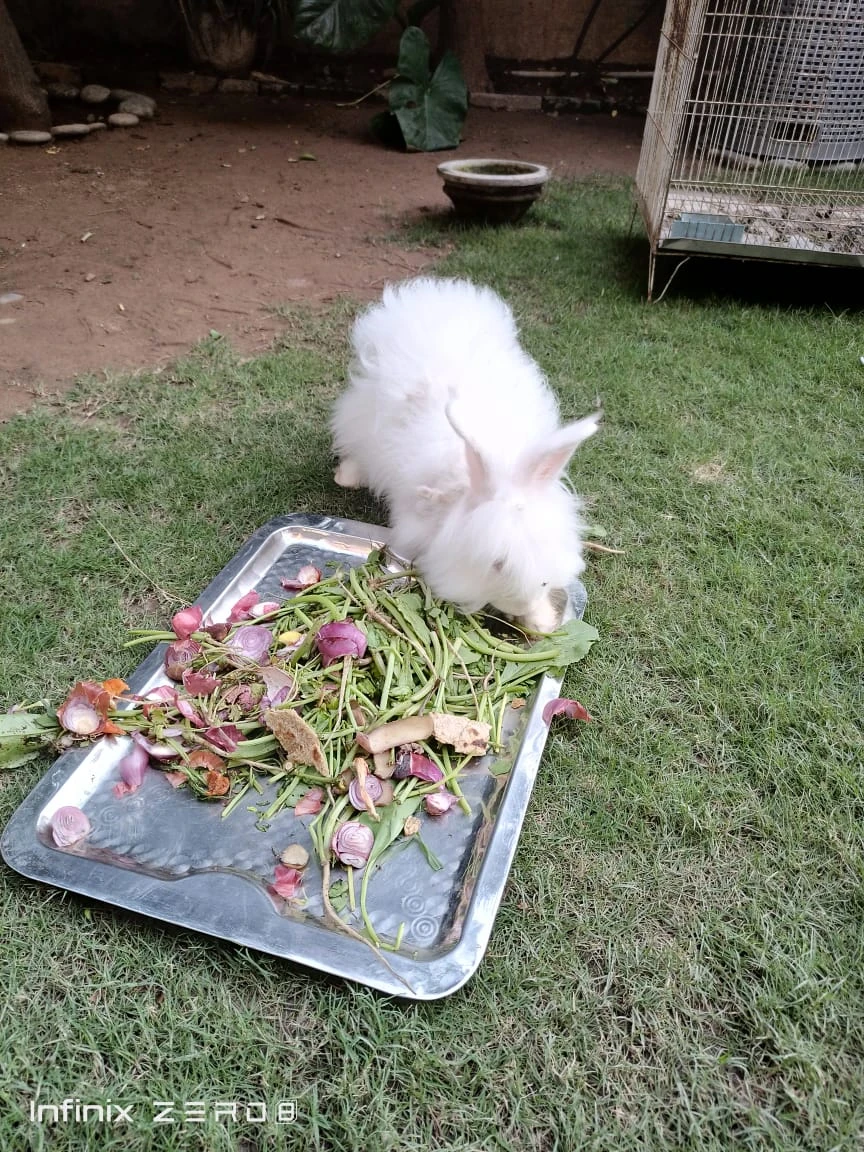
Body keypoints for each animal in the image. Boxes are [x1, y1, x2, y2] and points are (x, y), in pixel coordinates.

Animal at [331, 279, 603, 640]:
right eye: (498, 564)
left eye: (542, 562)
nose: (521, 602)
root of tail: (438, 292)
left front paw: (539, 620)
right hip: (364, 411)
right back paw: (346, 476)